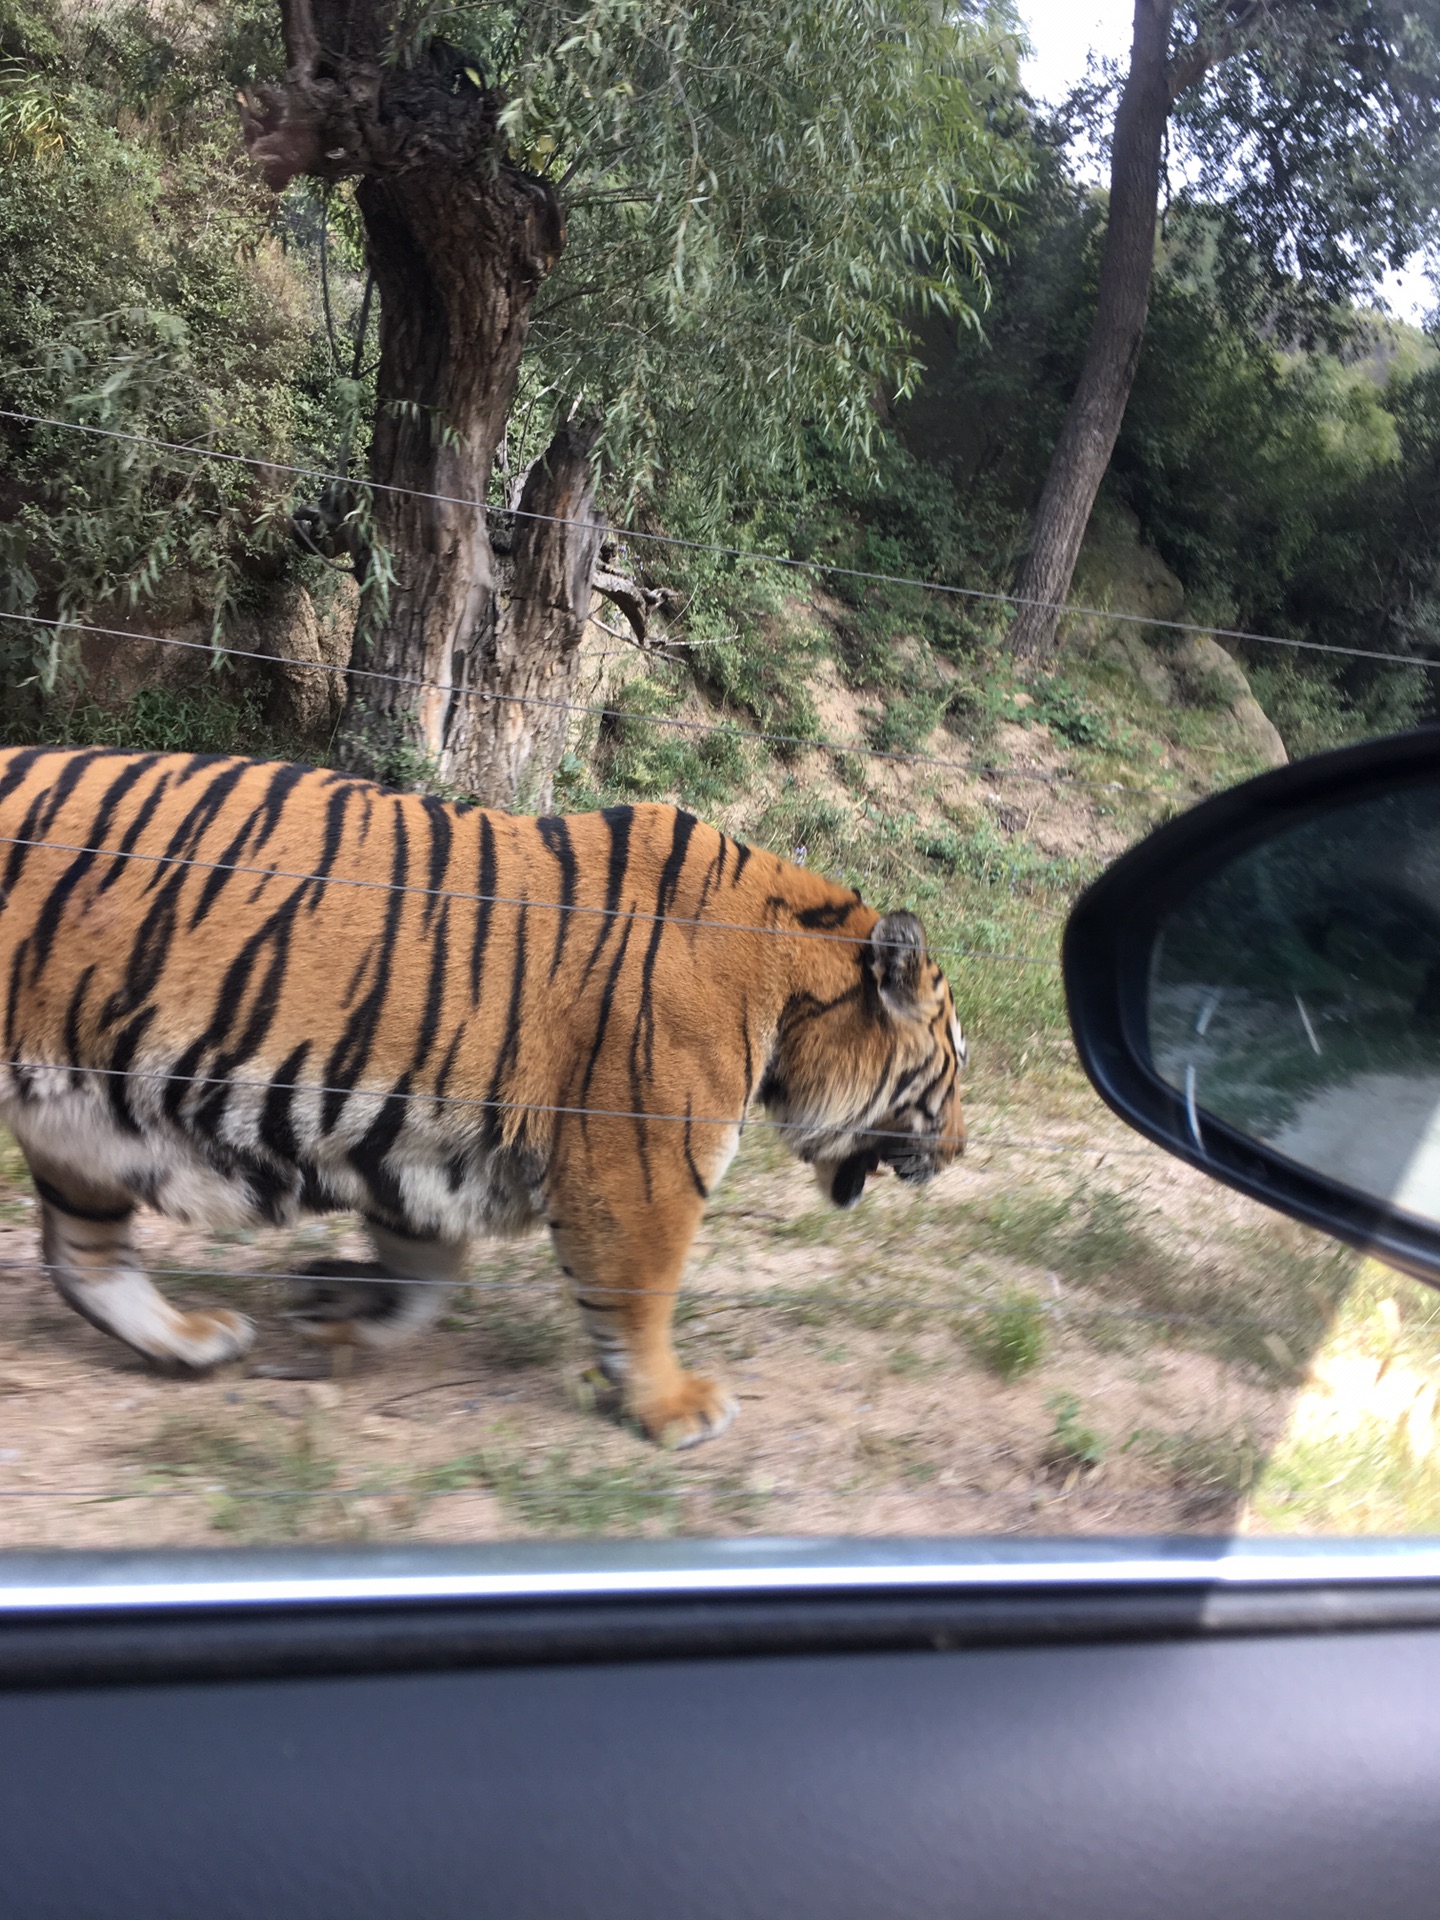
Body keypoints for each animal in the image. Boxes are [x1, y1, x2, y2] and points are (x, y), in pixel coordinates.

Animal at [0, 744, 975, 1443]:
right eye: (954, 1064)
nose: (963, 1151)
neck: (793, 983)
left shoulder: (415, 1140)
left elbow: (427, 1278)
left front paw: (336, 1316)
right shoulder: (642, 1156)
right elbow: (641, 1289)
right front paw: (672, 1407)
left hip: (81, 1118)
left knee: (85, 1258)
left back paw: (194, 1343)